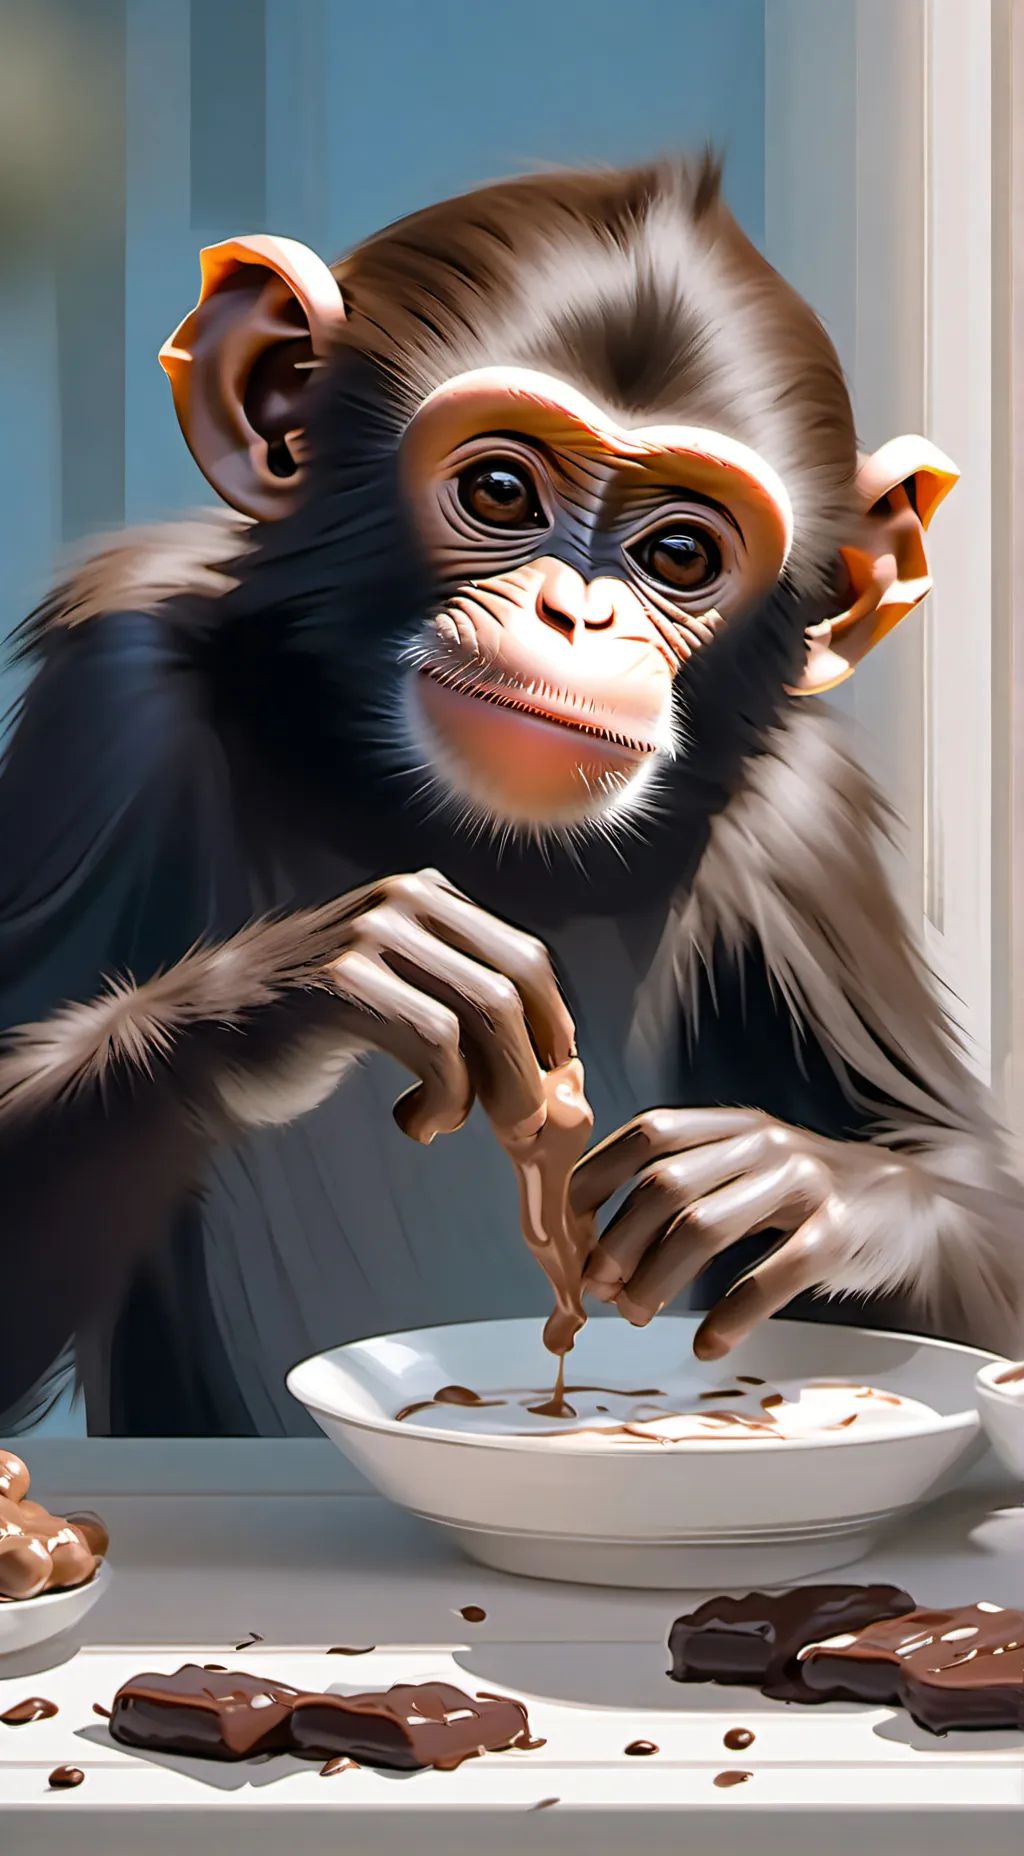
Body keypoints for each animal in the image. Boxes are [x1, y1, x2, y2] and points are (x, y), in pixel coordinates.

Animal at [0, 153, 1021, 1439]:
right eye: (498, 489)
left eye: (679, 555)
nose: (575, 614)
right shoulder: (111, 691)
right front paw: (324, 977)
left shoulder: (806, 822)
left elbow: (961, 1179)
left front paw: (801, 1182)